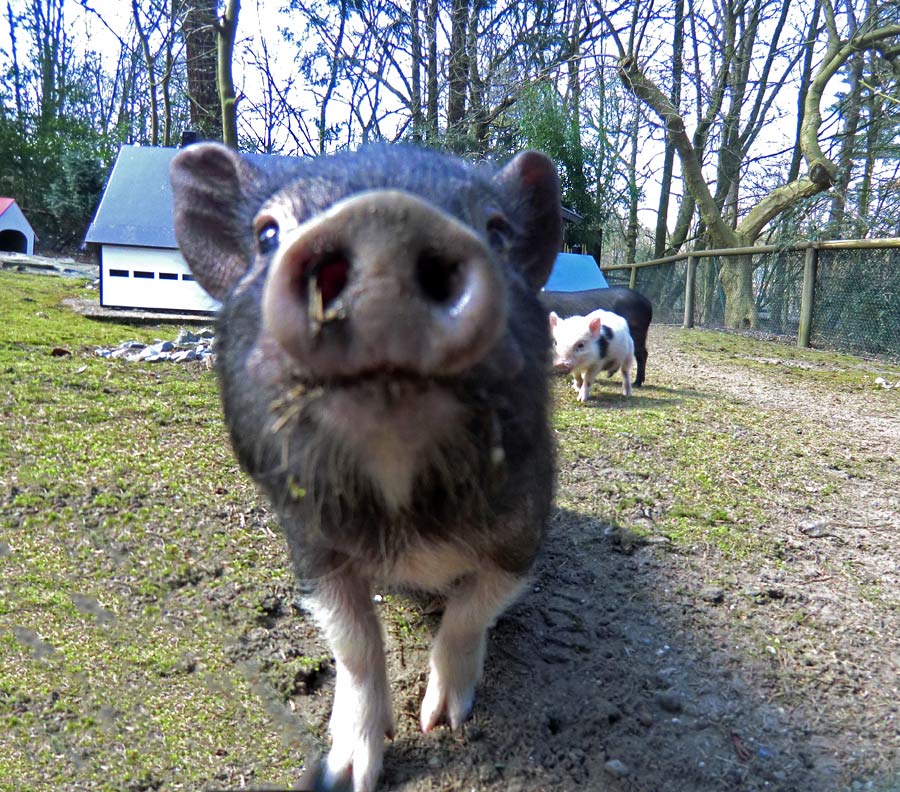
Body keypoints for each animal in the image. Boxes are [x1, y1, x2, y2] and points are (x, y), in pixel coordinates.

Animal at [169, 144, 560, 792]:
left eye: (499, 231)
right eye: (266, 233)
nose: (385, 219)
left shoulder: (524, 532)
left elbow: (472, 611)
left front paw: (442, 723)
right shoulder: (310, 546)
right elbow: (353, 643)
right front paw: (349, 774)